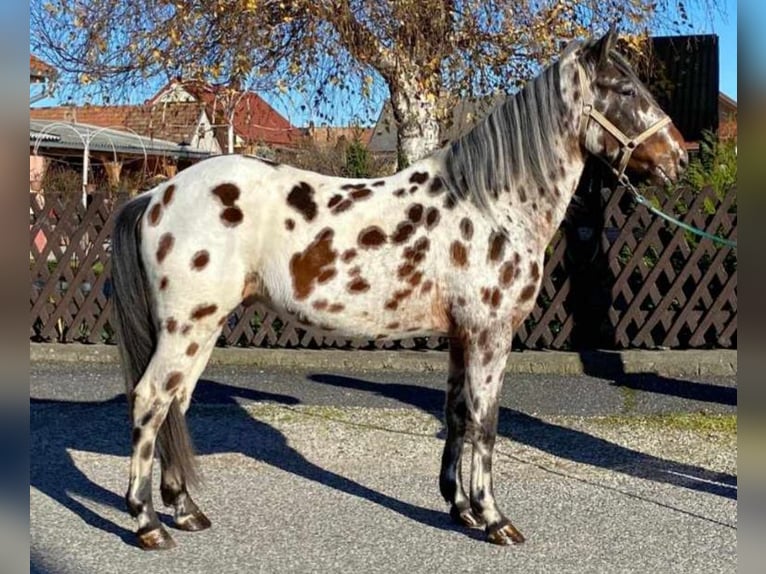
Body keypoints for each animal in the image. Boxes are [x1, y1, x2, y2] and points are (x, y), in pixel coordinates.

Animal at [109, 28, 688, 552]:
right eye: (625, 88)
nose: (678, 157)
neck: (491, 204)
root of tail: (157, 194)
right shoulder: (490, 336)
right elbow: (487, 422)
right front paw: (494, 519)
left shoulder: (462, 337)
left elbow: (458, 414)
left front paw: (460, 508)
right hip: (188, 327)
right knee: (151, 399)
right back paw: (148, 524)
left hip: (201, 328)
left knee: (176, 404)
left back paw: (186, 511)